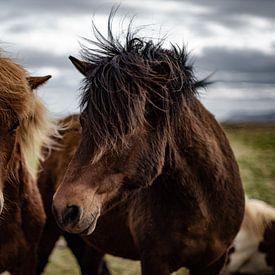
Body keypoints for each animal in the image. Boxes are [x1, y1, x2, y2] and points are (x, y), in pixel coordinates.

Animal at [52, 18, 246, 274]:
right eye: (84, 122)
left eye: (125, 128)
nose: (64, 208)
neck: (202, 207)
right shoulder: (155, 262)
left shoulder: (214, 262)